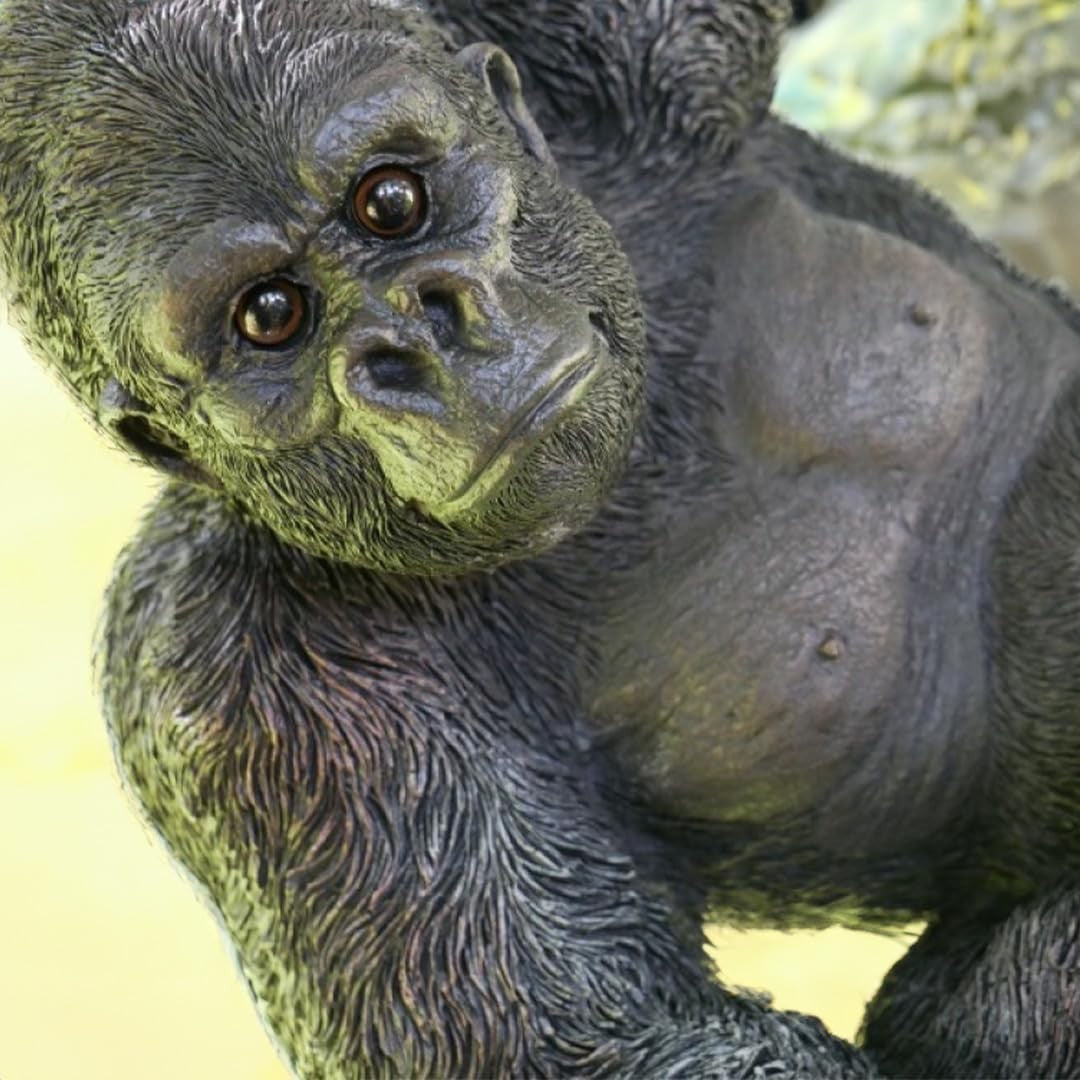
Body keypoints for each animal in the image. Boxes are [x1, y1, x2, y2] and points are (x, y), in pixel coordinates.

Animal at [2, 0, 1080, 1076]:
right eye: (270, 314)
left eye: (390, 202)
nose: (419, 342)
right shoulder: (221, 677)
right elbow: (612, 1038)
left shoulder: (639, 83)